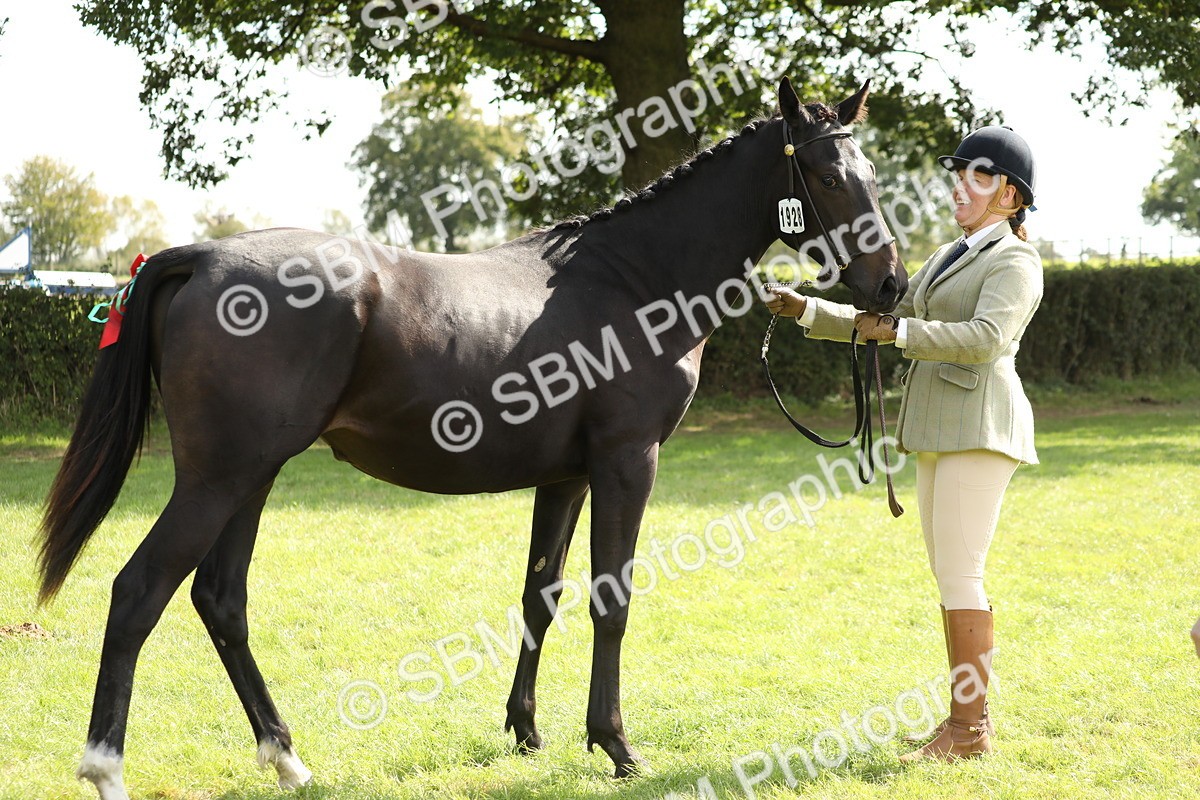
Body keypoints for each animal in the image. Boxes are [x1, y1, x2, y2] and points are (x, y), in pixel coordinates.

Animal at [39, 76, 906, 799]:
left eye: (871, 170)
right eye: (830, 177)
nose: (892, 284)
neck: (634, 279)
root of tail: (199, 256)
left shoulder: (567, 475)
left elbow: (540, 595)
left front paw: (527, 732)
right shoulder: (628, 462)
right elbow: (612, 599)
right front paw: (617, 746)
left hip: (252, 476)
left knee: (221, 600)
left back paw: (288, 758)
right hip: (217, 478)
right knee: (138, 591)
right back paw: (107, 769)